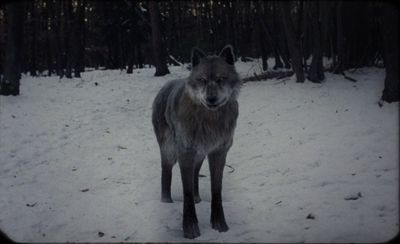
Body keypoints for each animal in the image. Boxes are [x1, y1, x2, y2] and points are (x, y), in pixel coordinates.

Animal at [152, 44, 241, 238]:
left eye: (221, 79)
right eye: (202, 80)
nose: (211, 99)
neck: (210, 120)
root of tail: (166, 84)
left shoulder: (218, 153)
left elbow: (216, 190)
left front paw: (220, 225)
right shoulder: (185, 153)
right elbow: (186, 193)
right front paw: (190, 228)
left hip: (199, 155)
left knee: (195, 173)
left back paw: (197, 197)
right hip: (170, 151)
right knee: (166, 172)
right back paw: (166, 202)